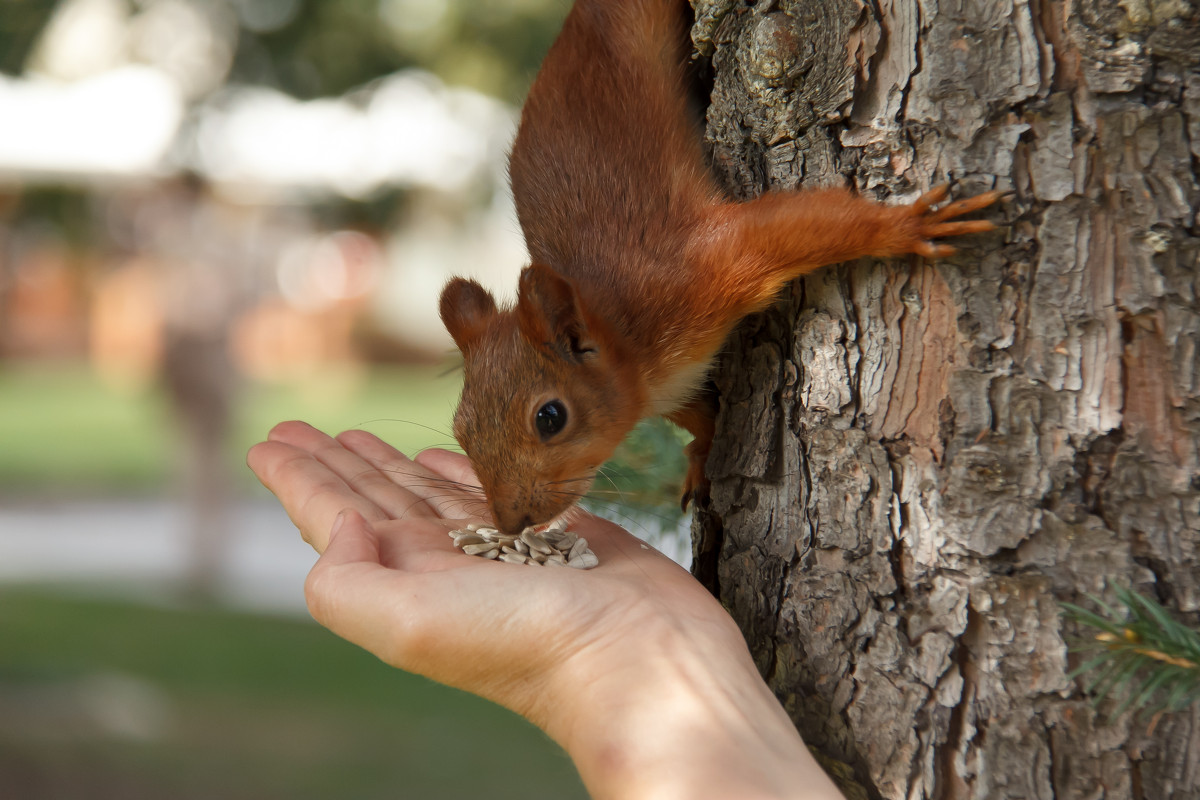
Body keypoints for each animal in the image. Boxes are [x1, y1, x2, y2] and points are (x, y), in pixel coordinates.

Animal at [436, 3, 998, 537]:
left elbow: (792, 229)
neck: (632, 346)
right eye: (461, 429)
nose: (510, 523)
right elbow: (699, 416)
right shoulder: (665, 383)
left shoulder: (702, 269)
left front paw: (905, 225)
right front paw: (701, 455)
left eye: (550, 417)